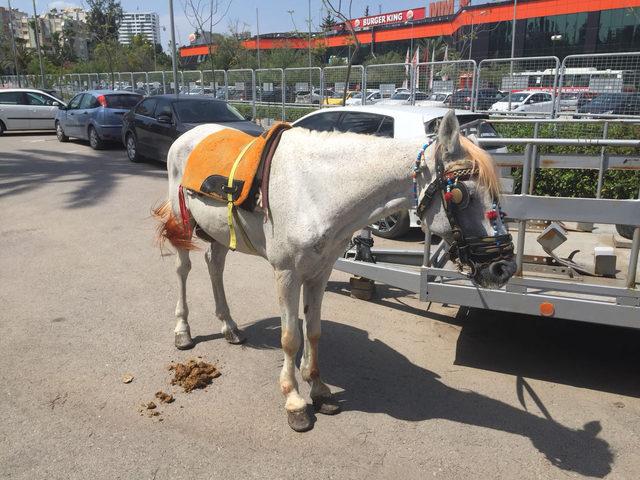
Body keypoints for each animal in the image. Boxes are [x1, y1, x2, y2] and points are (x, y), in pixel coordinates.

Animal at [156, 110, 520, 434]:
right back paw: (183, 330)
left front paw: (318, 389)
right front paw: (295, 401)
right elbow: (290, 337)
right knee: (183, 269)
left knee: (214, 266)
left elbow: (314, 331)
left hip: (218, 231)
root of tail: (189, 135)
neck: (318, 191)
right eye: (460, 194)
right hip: (182, 222)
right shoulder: (286, 274)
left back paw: (229, 326)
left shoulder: (320, 272)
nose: (503, 267)